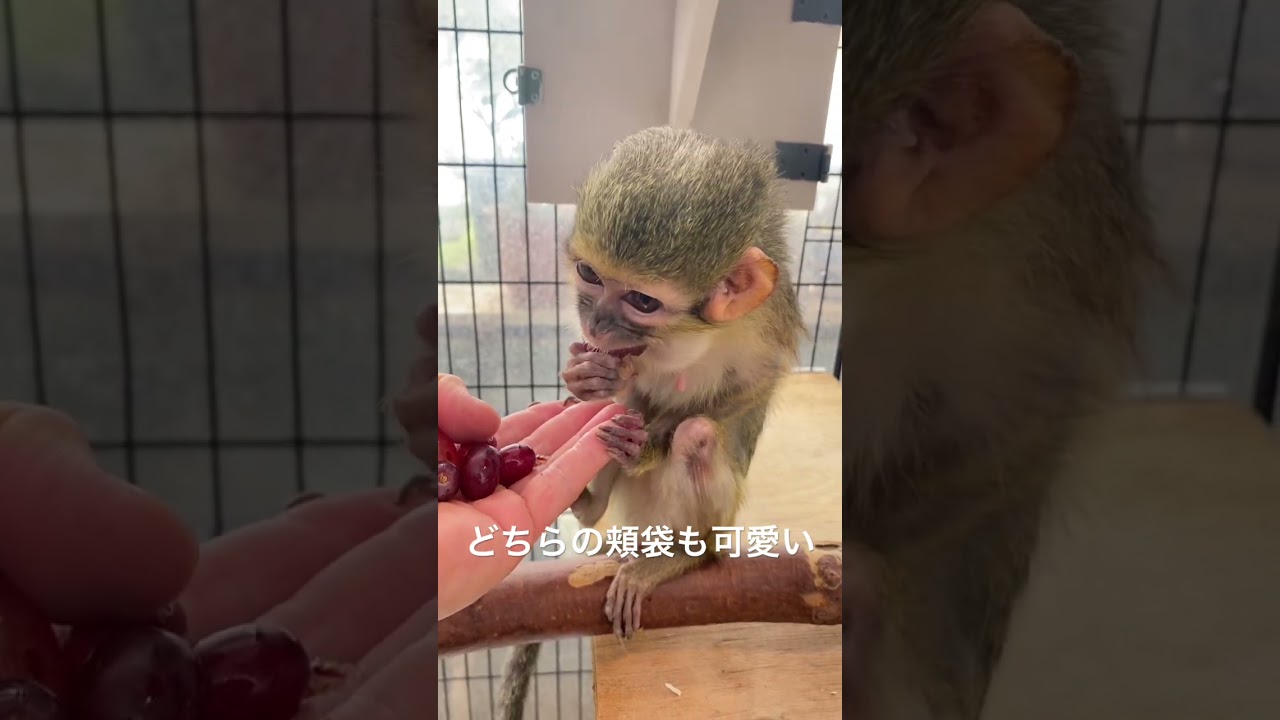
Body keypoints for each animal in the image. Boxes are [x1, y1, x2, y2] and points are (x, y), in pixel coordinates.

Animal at [497, 126, 806, 719]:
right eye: (590, 275)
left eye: (642, 300)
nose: (596, 321)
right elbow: (620, 390)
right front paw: (588, 376)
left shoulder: (766, 333)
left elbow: (751, 391)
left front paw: (646, 450)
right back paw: (589, 503)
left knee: (699, 435)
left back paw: (681, 555)